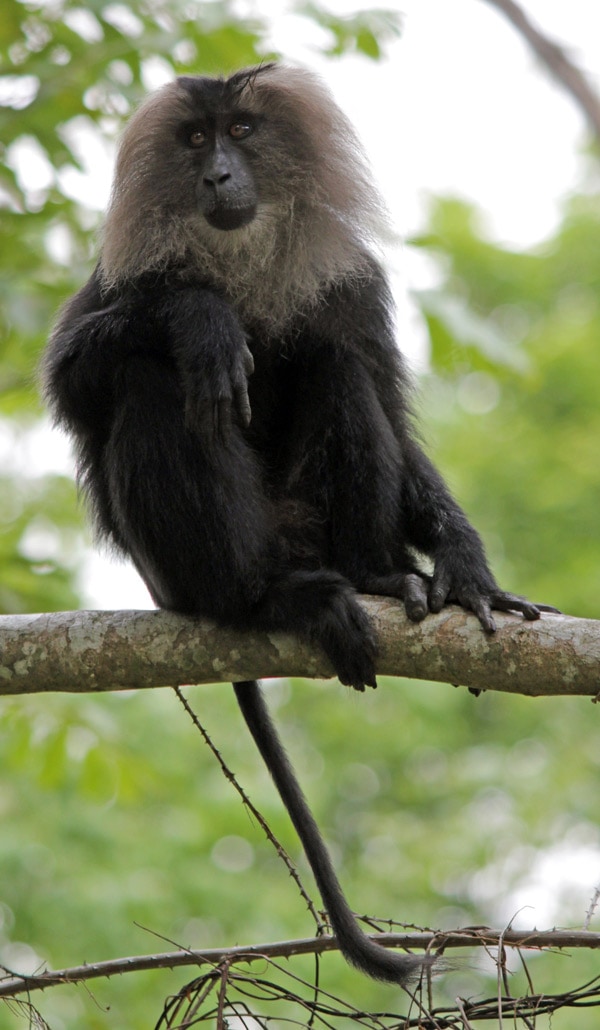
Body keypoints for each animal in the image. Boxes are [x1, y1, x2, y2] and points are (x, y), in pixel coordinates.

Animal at [43, 62, 559, 980]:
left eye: (242, 133)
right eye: (193, 140)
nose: (217, 175)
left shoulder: (353, 282)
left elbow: (383, 396)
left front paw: (467, 567)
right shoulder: (122, 277)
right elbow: (78, 375)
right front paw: (201, 316)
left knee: (337, 362)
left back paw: (377, 576)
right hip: (190, 564)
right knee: (151, 377)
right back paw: (264, 598)